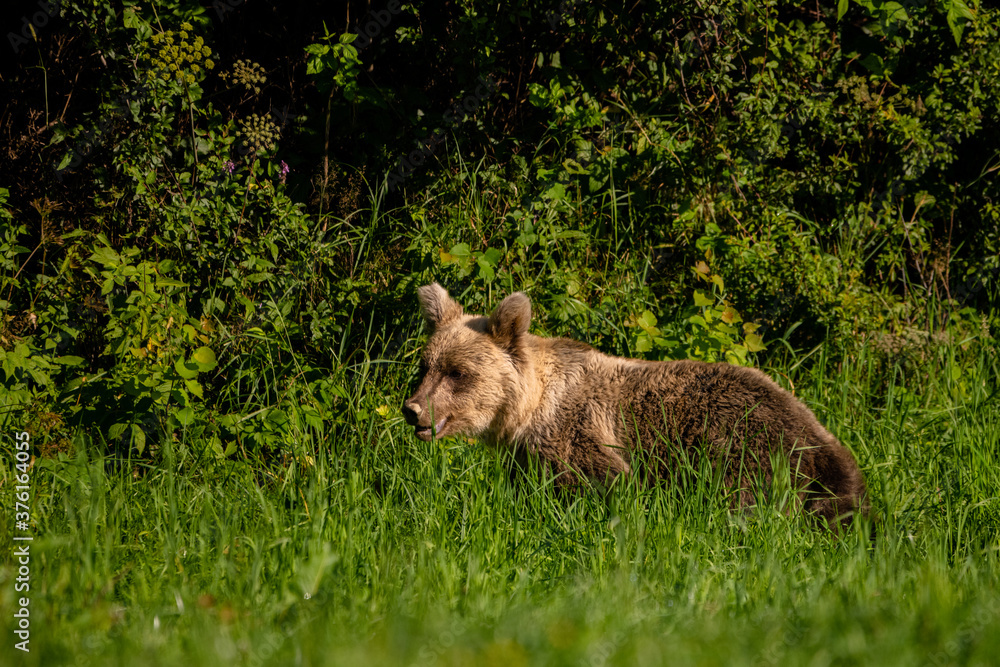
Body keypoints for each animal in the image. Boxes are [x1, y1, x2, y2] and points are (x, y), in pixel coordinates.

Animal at [402, 283, 867, 528]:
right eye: (425, 366)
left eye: (458, 372)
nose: (413, 409)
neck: (528, 412)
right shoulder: (527, 454)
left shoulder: (579, 435)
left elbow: (604, 483)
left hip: (741, 439)